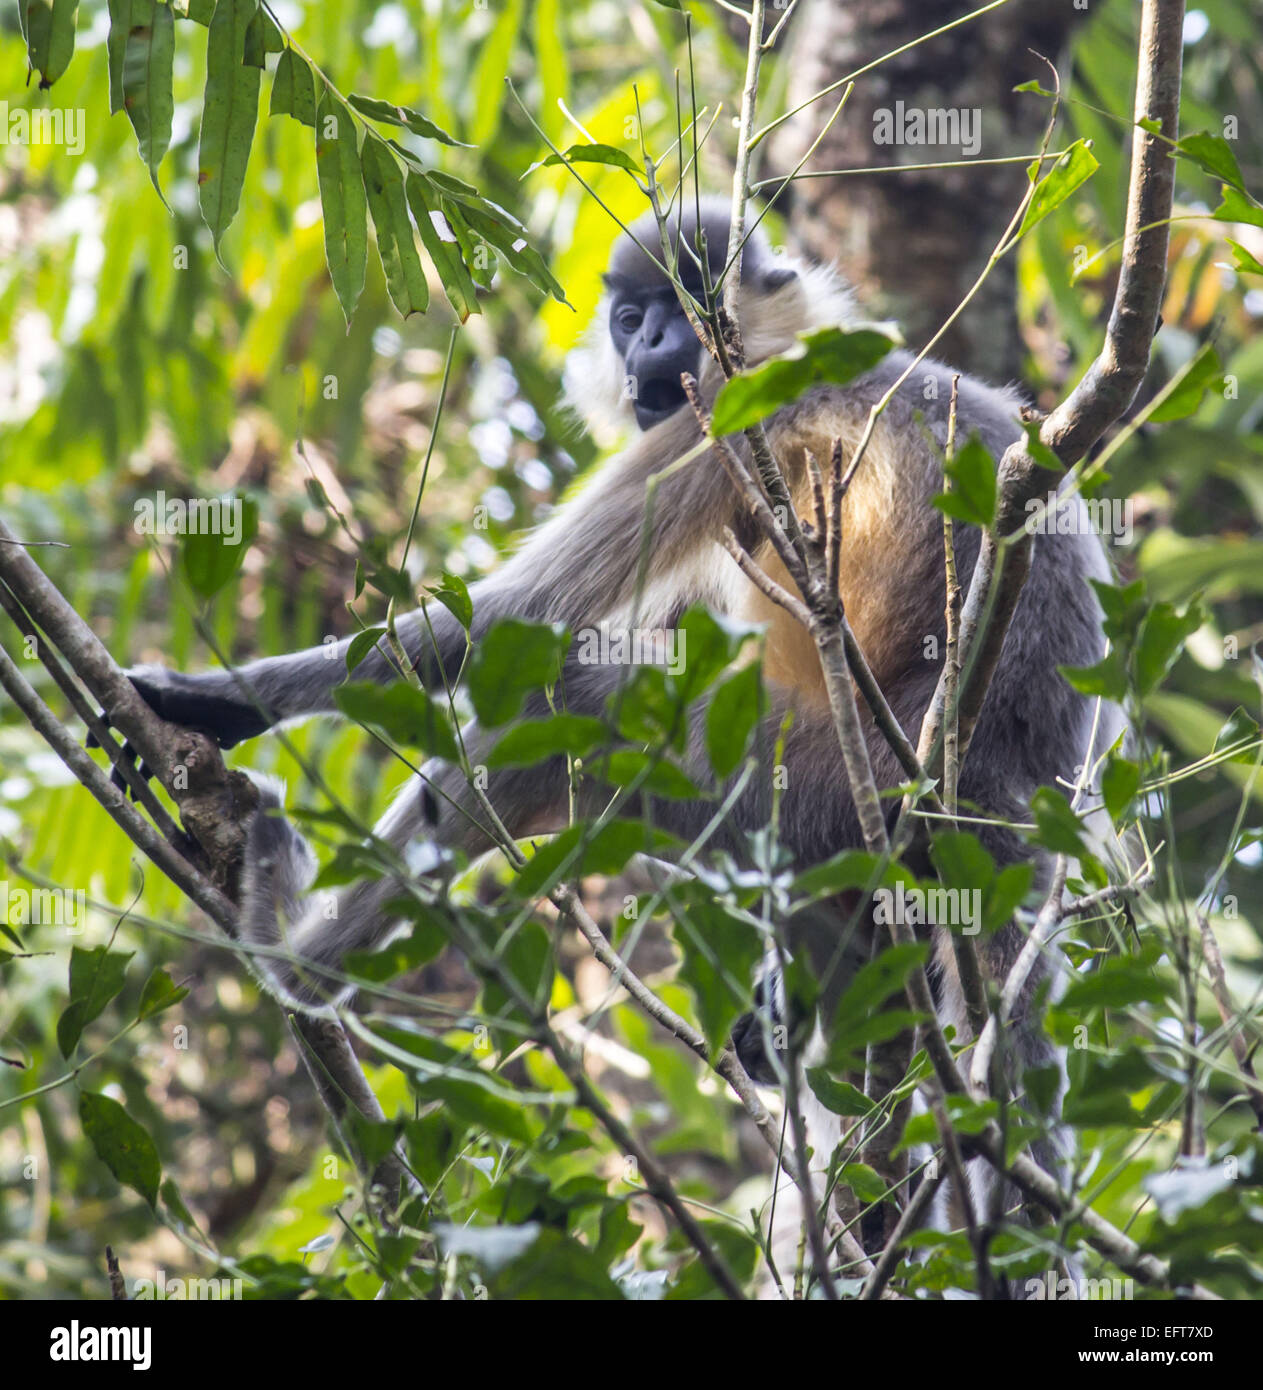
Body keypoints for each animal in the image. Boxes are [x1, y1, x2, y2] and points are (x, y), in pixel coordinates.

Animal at [116, 201, 1111, 1284]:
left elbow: (523, 623)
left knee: (575, 708)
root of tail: (1000, 772)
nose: (651, 340)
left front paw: (215, 701)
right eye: (630, 317)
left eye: (677, 303)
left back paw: (290, 960)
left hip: (811, 780)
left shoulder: (722, 417)